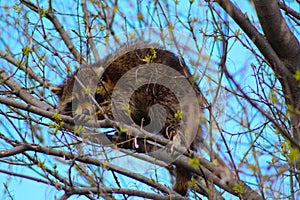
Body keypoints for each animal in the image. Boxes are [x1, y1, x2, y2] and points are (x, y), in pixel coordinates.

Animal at [52, 41, 205, 195]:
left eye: (92, 96)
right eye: (74, 101)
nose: (85, 111)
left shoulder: (123, 87)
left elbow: (120, 108)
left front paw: (98, 114)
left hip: (167, 85)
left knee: (168, 110)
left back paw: (176, 133)